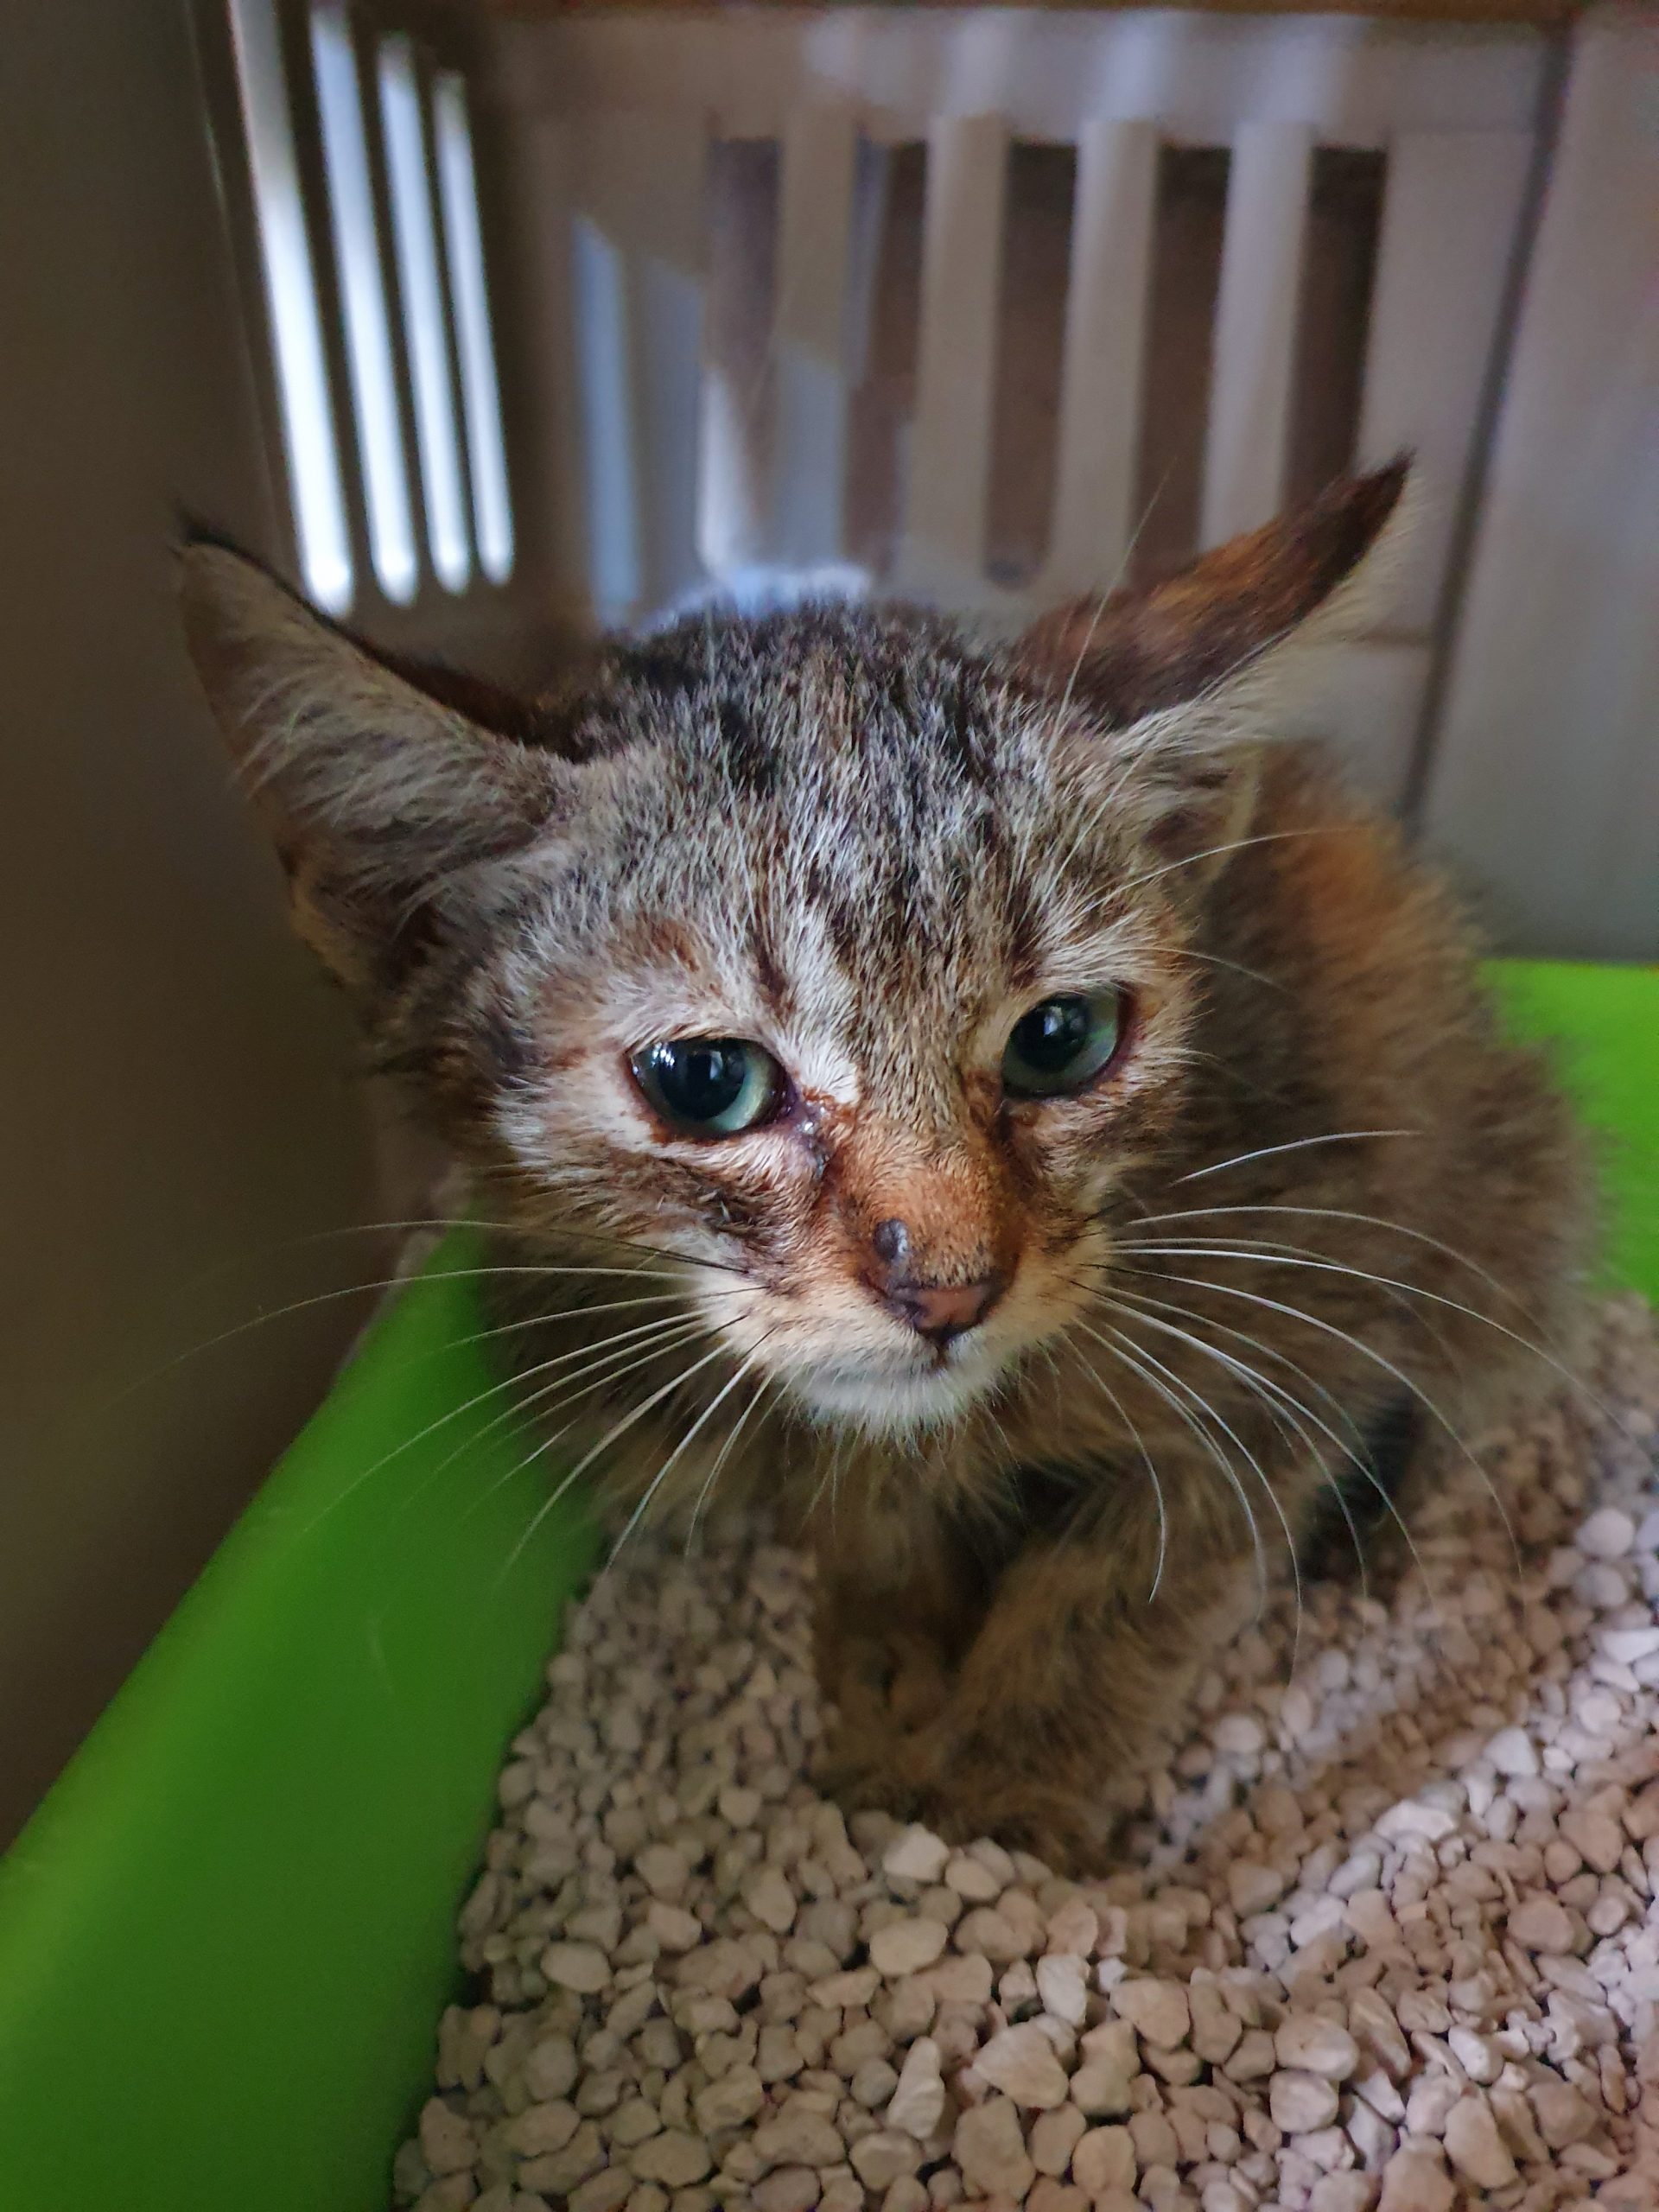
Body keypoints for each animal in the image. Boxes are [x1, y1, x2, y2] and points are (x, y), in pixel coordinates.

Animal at [182, 463, 1586, 1870]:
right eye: (706, 1080)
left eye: (1063, 1039)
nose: (950, 1290)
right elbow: (869, 1517)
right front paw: (891, 1649)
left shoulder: (1296, 1297)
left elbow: (1122, 1575)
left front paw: (997, 1788)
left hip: (1490, 1185)